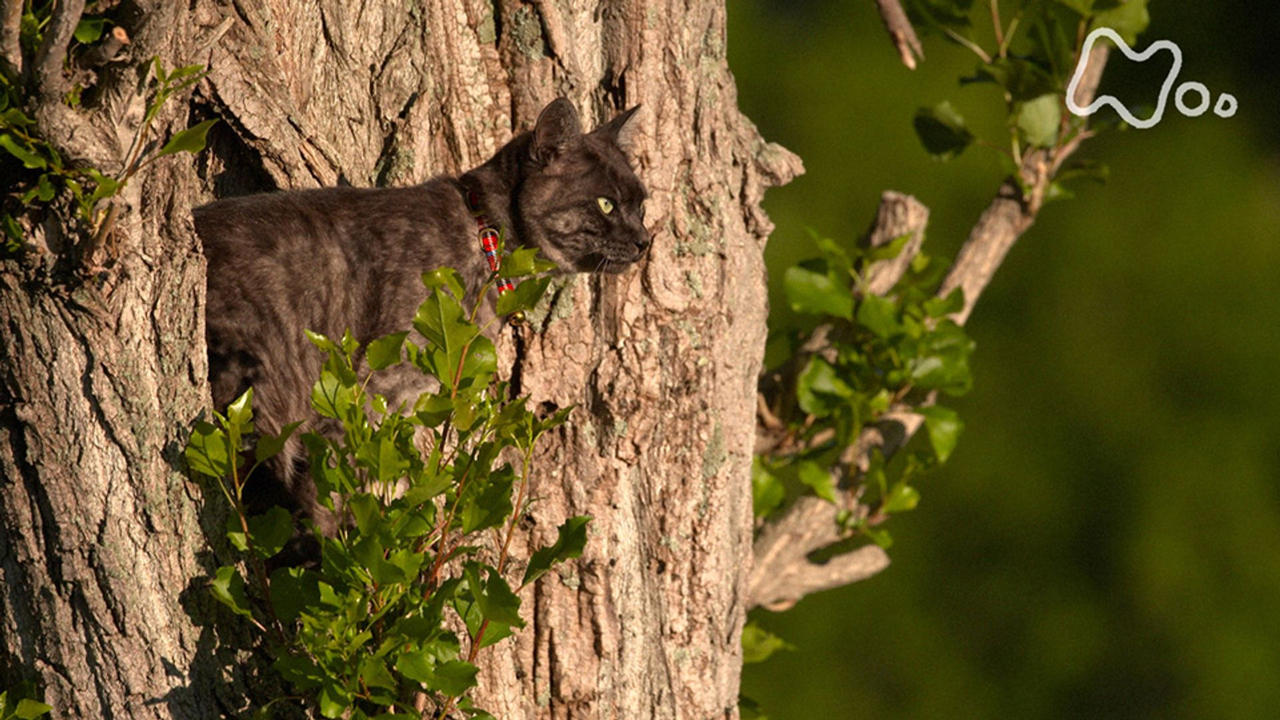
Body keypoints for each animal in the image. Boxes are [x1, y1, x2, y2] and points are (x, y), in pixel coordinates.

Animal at [195, 98, 650, 530]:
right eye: (607, 204)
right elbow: (343, 483)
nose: (645, 239)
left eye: (641, 207)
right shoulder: (369, 389)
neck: (484, 237)